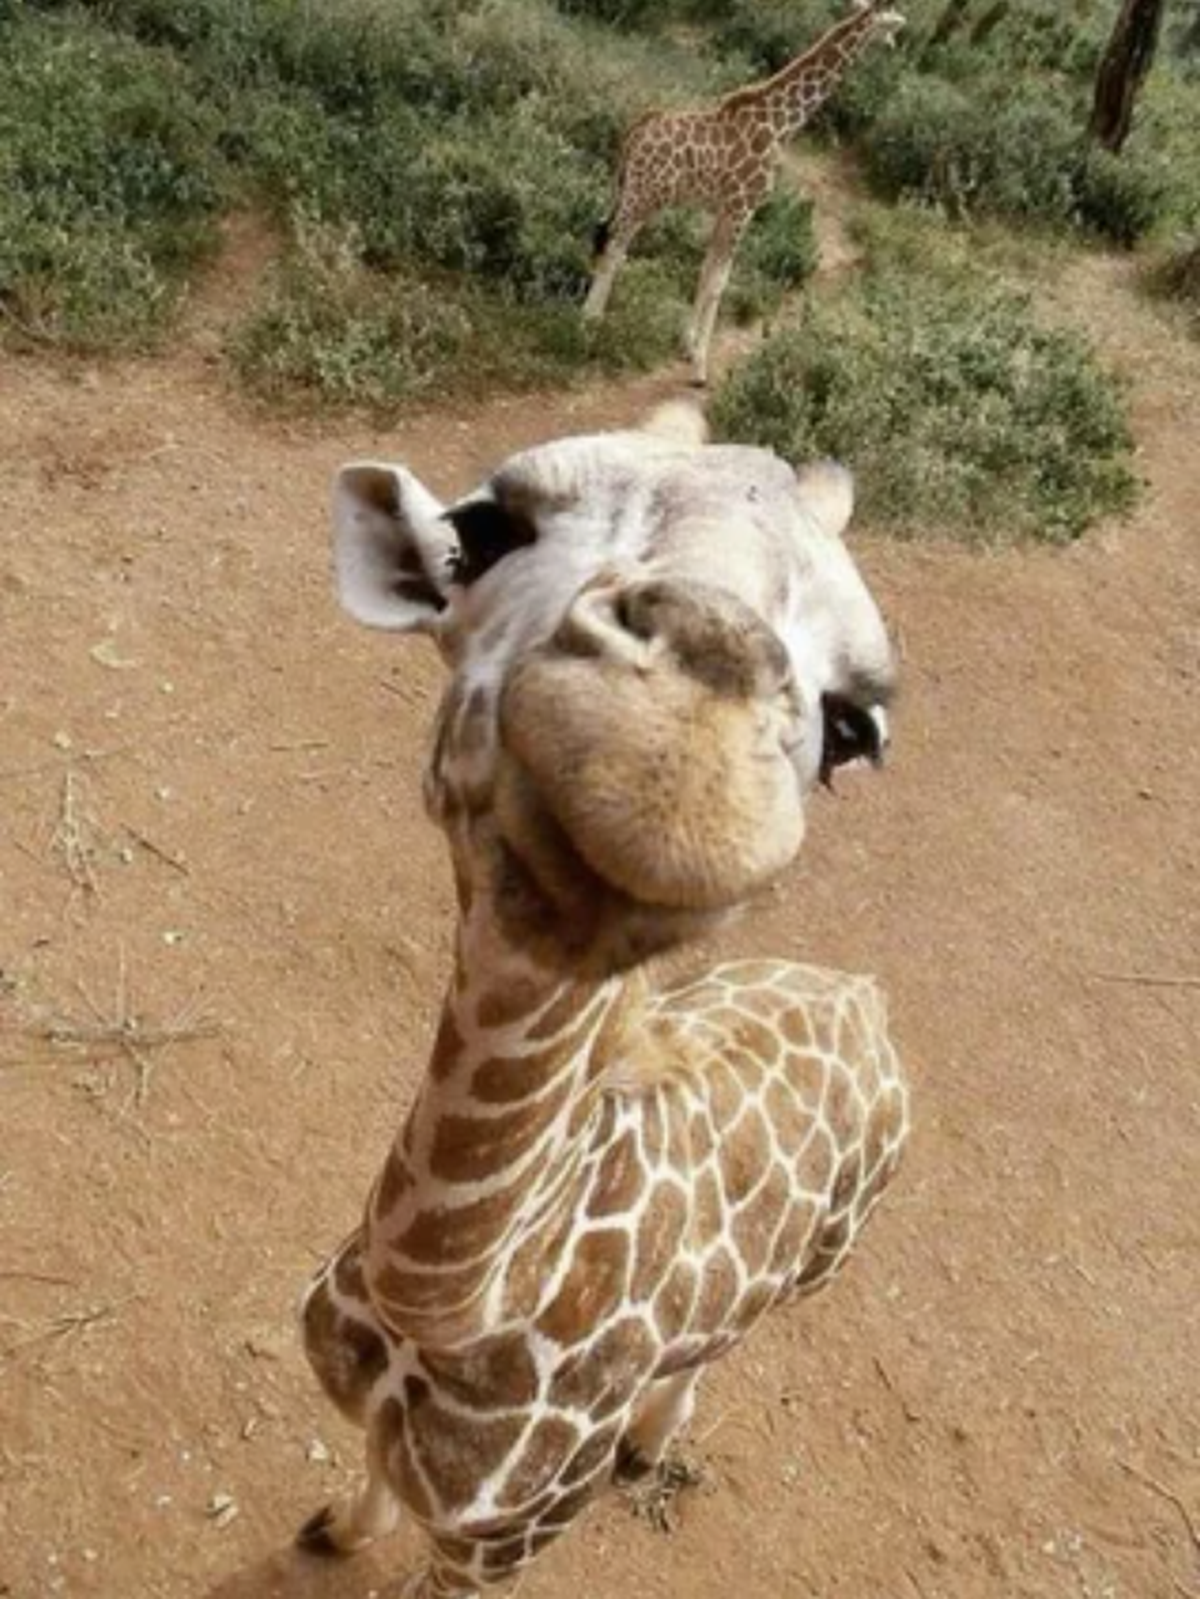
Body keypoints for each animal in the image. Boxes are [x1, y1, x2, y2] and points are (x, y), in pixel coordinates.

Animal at [296, 403, 910, 1599]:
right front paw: (337, 1530)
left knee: (734, 1340)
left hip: (826, 1260)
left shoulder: (504, 1546)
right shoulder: (374, 1423)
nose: (674, 768)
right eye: (481, 530)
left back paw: (650, 1442)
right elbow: (372, 1473)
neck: (448, 1313)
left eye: (854, 725)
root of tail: (864, 997)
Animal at [582, 1, 906, 384]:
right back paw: (589, 322)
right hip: (644, 196)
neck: (781, 124)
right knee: (614, 245)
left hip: (627, 190)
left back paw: (588, 316)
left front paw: (688, 345)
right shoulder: (743, 207)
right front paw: (700, 368)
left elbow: (706, 271)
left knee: (605, 236)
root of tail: (635, 132)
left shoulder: (724, 208)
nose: (901, 29)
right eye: (890, 15)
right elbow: (720, 281)